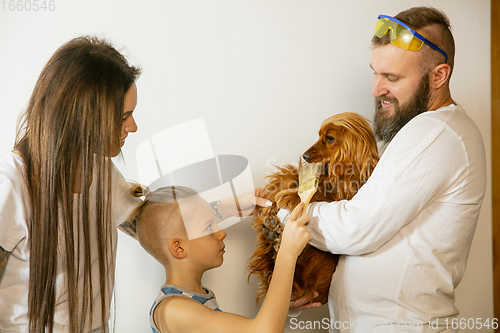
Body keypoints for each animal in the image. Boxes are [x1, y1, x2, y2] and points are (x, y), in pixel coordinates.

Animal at [246, 113, 378, 304]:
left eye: (329, 138)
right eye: (319, 135)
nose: (305, 155)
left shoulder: (344, 199)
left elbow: (316, 195)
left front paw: (289, 196)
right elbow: (294, 179)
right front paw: (273, 199)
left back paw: (274, 236)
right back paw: (270, 231)